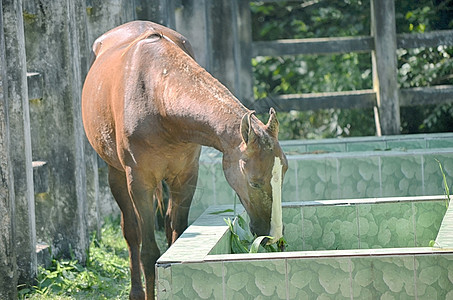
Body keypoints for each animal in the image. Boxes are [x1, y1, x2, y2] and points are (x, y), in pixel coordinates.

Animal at [81, 19, 286, 298]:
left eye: (283, 174)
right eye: (254, 182)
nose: (272, 235)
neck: (157, 97)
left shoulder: (186, 177)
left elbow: (177, 236)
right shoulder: (140, 183)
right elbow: (148, 252)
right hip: (116, 174)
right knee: (131, 233)